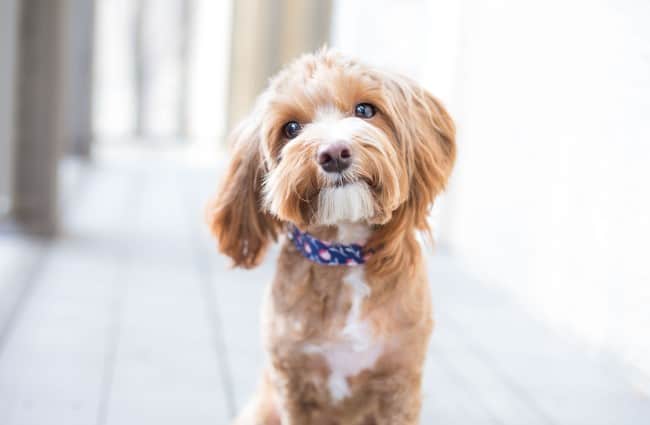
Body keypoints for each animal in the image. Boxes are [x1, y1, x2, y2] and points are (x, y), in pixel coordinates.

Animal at [210, 48, 454, 424]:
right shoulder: (293, 386)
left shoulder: (399, 383)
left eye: (365, 110)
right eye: (291, 128)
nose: (334, 152)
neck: (344, 253)